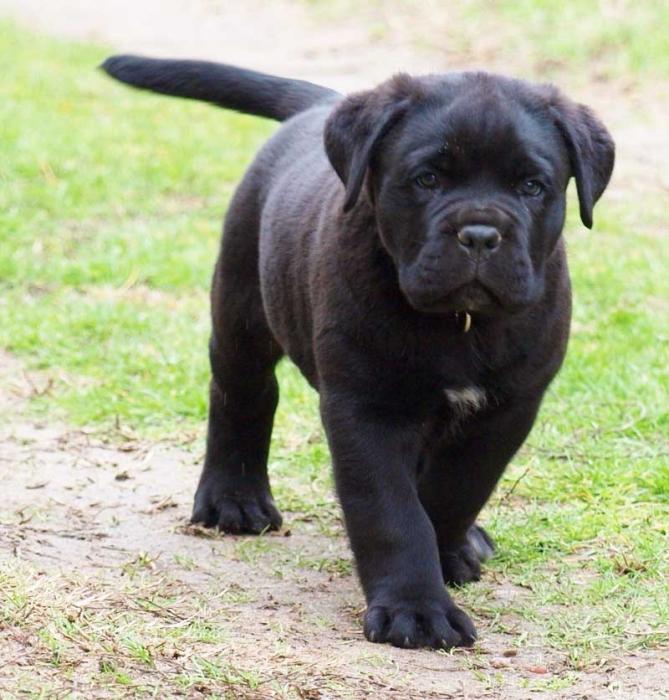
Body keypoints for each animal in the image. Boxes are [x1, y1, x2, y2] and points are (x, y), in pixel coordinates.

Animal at [103, 56, 612, 652]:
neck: (459, 323)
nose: (481, 233)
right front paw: (416, 609)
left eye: (532, 186)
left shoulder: (507, 410)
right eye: (427, 179)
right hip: (242, 306)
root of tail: (319, 107)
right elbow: (392, 510)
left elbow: (455, 491)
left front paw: (447, 555)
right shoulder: (366, 408)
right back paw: (235, 500)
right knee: (243, 396)